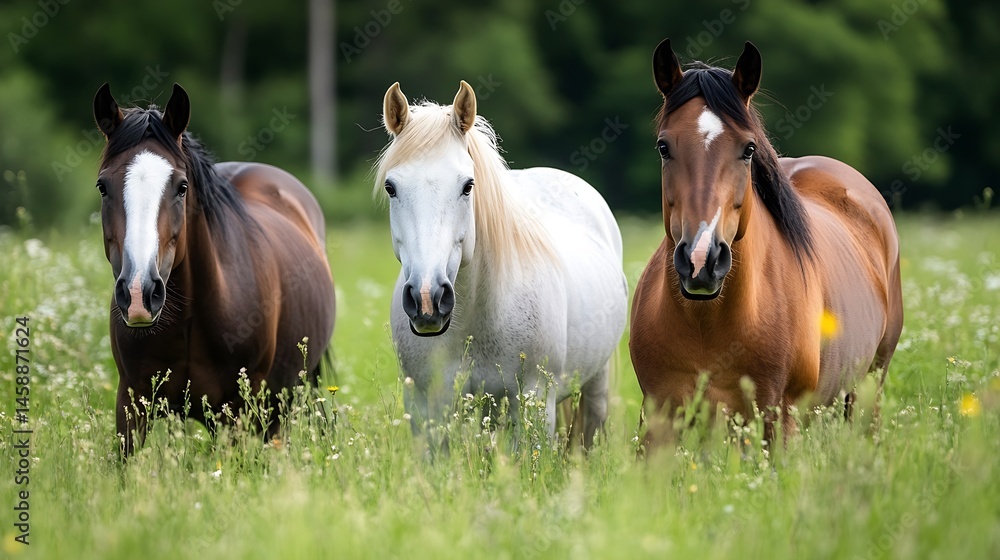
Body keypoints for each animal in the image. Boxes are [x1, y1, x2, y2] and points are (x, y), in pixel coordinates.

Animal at [374, 81, 628, 448]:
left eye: (468, 186)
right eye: (391, 187)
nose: (427, 299)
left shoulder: (534, 401)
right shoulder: (426, 408)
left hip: (594, 386)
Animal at [629, 40, 903, 448]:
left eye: (748, 149)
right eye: (664, 147)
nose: (701, 260)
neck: (707, 324)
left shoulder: (778, 421)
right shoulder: (659, 421)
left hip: (869, 386)